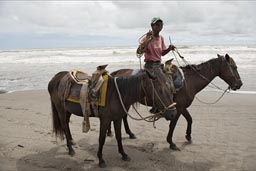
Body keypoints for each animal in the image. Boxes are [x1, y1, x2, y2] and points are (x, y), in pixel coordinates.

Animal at [47, 67, 176, 167]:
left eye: (169, 87)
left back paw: (72, 142)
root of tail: (55, 78)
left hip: (67, 110)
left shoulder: (117, 118)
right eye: (159, 90)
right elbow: (101, 139)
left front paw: (123, 154)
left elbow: (119, 136)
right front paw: (101, 160)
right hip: (61, 109)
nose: (173, 113)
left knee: (66, 125)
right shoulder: (105, 120)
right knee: (64, 125)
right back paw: (70, 149)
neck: (117, 94)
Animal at [109, 54, 242, 150]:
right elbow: (173, 124)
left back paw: (127, 133)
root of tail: (115, 73)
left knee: (123, 116)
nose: (240, 84)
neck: (188, 82)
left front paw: (188, 136)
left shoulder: (182, 107)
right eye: (234, 67)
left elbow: (190, 119)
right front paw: (171, 143)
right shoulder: (177, 108)